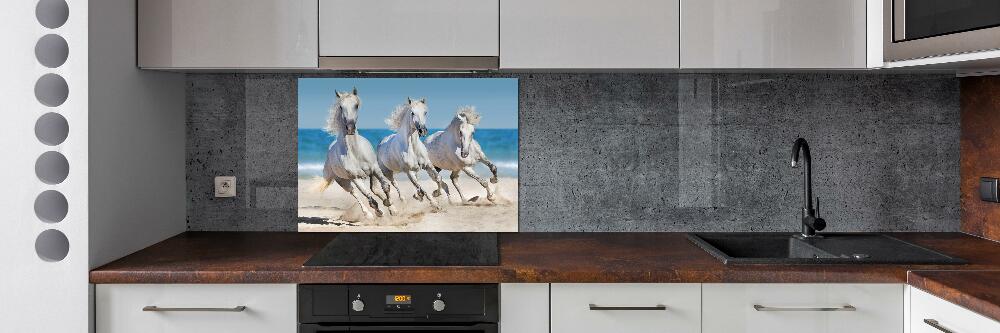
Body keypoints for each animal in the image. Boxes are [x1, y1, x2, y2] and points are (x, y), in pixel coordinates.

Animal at [324, 87, 394, 219]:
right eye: (341, 106)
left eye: (356, 105)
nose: (350, 128)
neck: (356, 153)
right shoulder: (356, 178)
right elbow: (370, 200)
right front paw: (379, 212)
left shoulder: (375, 169)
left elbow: (385, 186)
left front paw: (391, 206)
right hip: (344, 182)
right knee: (355, 193)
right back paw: (368, 214)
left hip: (371, 175)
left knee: (375, 189)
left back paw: (390, 207)